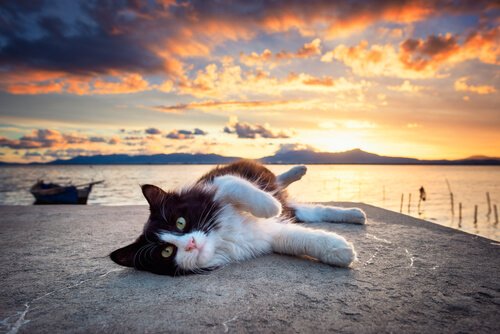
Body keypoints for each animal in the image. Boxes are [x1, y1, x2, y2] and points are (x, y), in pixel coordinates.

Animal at [110, 160, 368, 276]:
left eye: (180, 222)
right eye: (166, 252)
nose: (191, 244)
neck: (222, 238)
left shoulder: (215, 184)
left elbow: (235, 184)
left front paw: (270, 206)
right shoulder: (269, 237)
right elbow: (300, 240)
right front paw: (339, 251)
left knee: (277, 182)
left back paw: (296, 173)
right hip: (298, 211)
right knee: (314, 211)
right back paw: (356, 214)